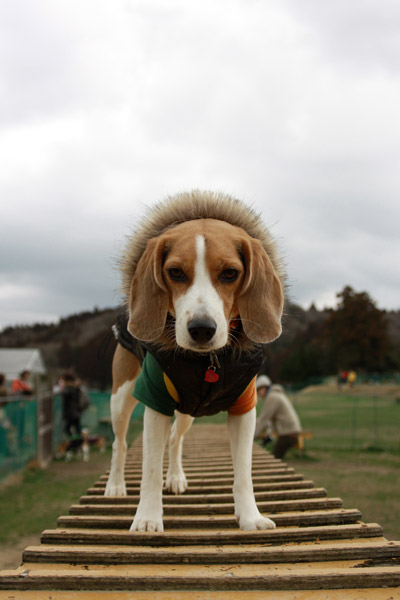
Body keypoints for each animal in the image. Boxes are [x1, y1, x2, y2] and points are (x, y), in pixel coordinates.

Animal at [106, 191, 284, 528]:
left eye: (230, 273)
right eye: (175, 272)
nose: (201, 328)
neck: (207, 362)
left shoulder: (245, 407)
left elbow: (243, 472)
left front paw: (250, 517)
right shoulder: (155, 399)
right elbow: (150, 469)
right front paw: (147, 519)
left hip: (186, 412)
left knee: (175, 440)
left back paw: (175, 477)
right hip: (121, 398)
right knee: (119, 444)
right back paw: (115, 485)